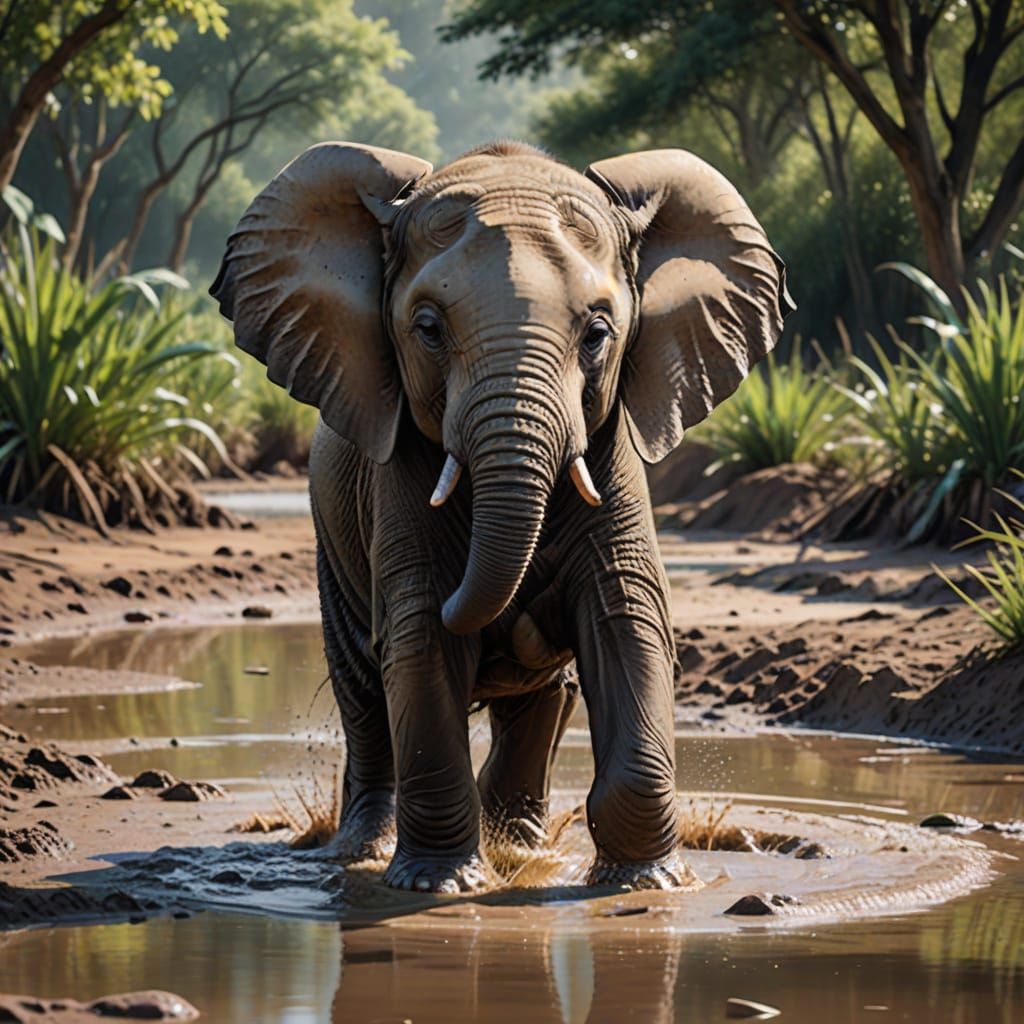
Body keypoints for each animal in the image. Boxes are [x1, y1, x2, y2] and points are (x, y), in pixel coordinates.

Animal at [211, 140, 792, 893]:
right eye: (428, 329)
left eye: (598, 332)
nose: (523, 611)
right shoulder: (397, 477)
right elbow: (419, 633)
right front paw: (438, 885)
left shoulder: (615, 452)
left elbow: (626, 621)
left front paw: (647, 883)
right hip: (330, 539)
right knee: (364, 691)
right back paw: (364, 849)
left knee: (538, 701)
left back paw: (520, 844)